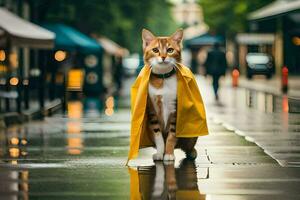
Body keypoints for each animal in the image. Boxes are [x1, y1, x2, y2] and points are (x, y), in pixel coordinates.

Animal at [142, 28, 198, 162]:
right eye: (155, 50)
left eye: (170, 50)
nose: (163, 57)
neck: (162, 79)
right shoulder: (151, 109)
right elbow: (158, 135)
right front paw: (160, 153)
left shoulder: (176, 109)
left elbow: (172, 135)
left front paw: (168, 153)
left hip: (190, 135)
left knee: (188, 145)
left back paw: (191, 152)